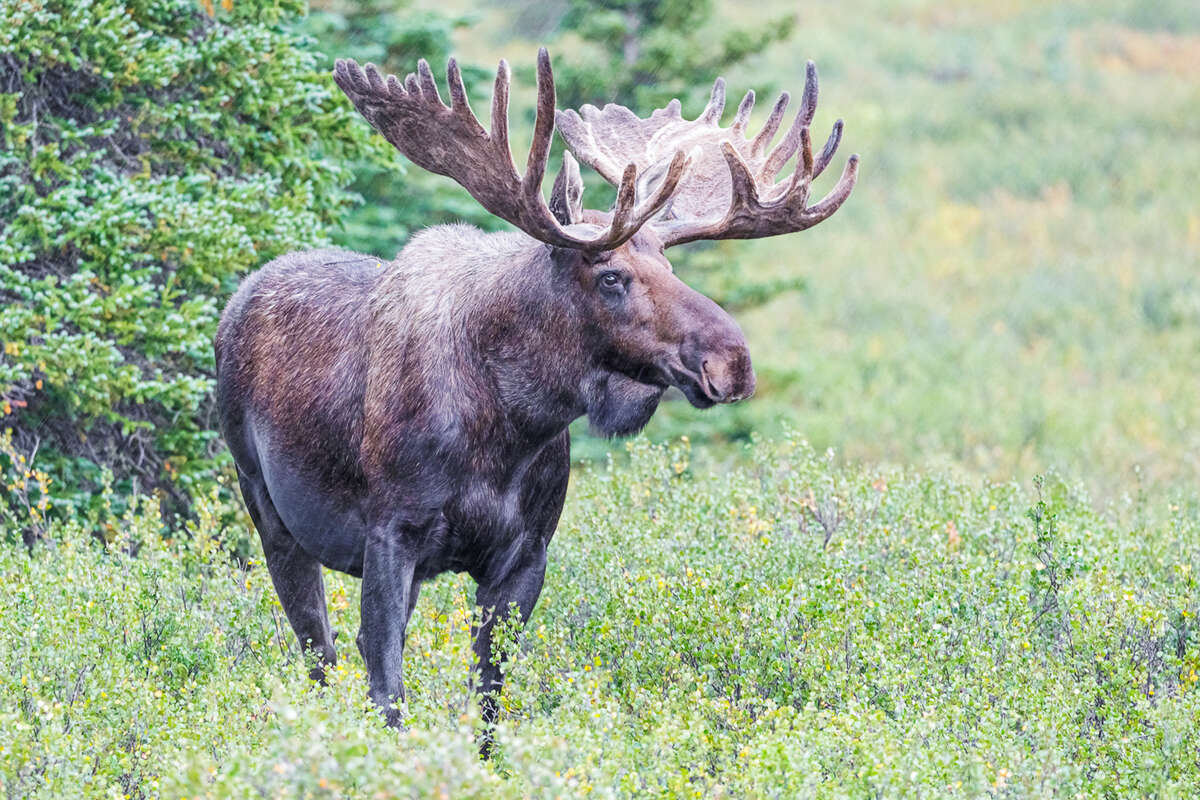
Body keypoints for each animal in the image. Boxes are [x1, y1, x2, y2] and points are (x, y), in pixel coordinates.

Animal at [213, 47, 854, 738]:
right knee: (320, 651)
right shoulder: (389, 534)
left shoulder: (526, 555)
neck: (513, 422)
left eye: (669, 264)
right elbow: (388, 690)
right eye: (611, 276)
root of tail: (234, 305)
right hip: (268, 510)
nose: (731, 361)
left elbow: (490, 701)